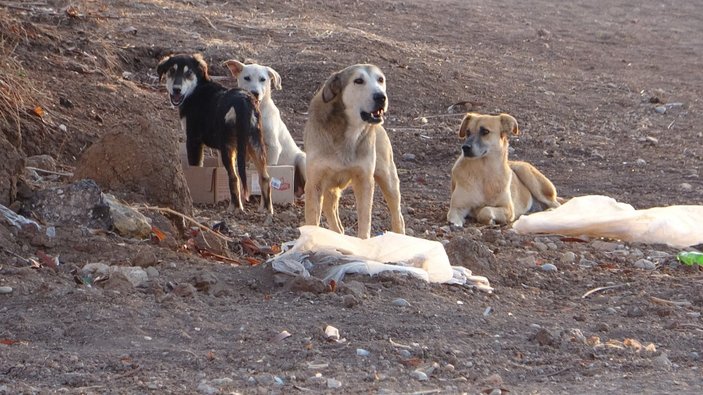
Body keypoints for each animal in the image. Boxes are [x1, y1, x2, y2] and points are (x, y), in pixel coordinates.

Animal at [157, 53, 272, 213]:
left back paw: (235, 207)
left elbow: (196, 168)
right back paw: (267, 210)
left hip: (228, 147)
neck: (197, 89)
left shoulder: (193, 140)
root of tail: (243, 101)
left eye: (188, 73)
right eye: (171, 71)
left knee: (234, 177)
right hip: (255, 144)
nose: (176, 90)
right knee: (265, 177)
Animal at [223, 60, 306, 195]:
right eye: (247, 78)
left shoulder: (273, 147)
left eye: (263, 79)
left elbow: (269, 169)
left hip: (302, 159)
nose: (255, 93)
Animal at [304, 63, 408, 240]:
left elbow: (365, 220)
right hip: (328, 190)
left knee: (398, 217)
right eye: (358, 81)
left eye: (380, 79)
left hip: (388, 179)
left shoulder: (364, 179)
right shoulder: (314, 183)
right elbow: (312, 221)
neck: (347, 133)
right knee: (336, 223)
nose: (381, 97)